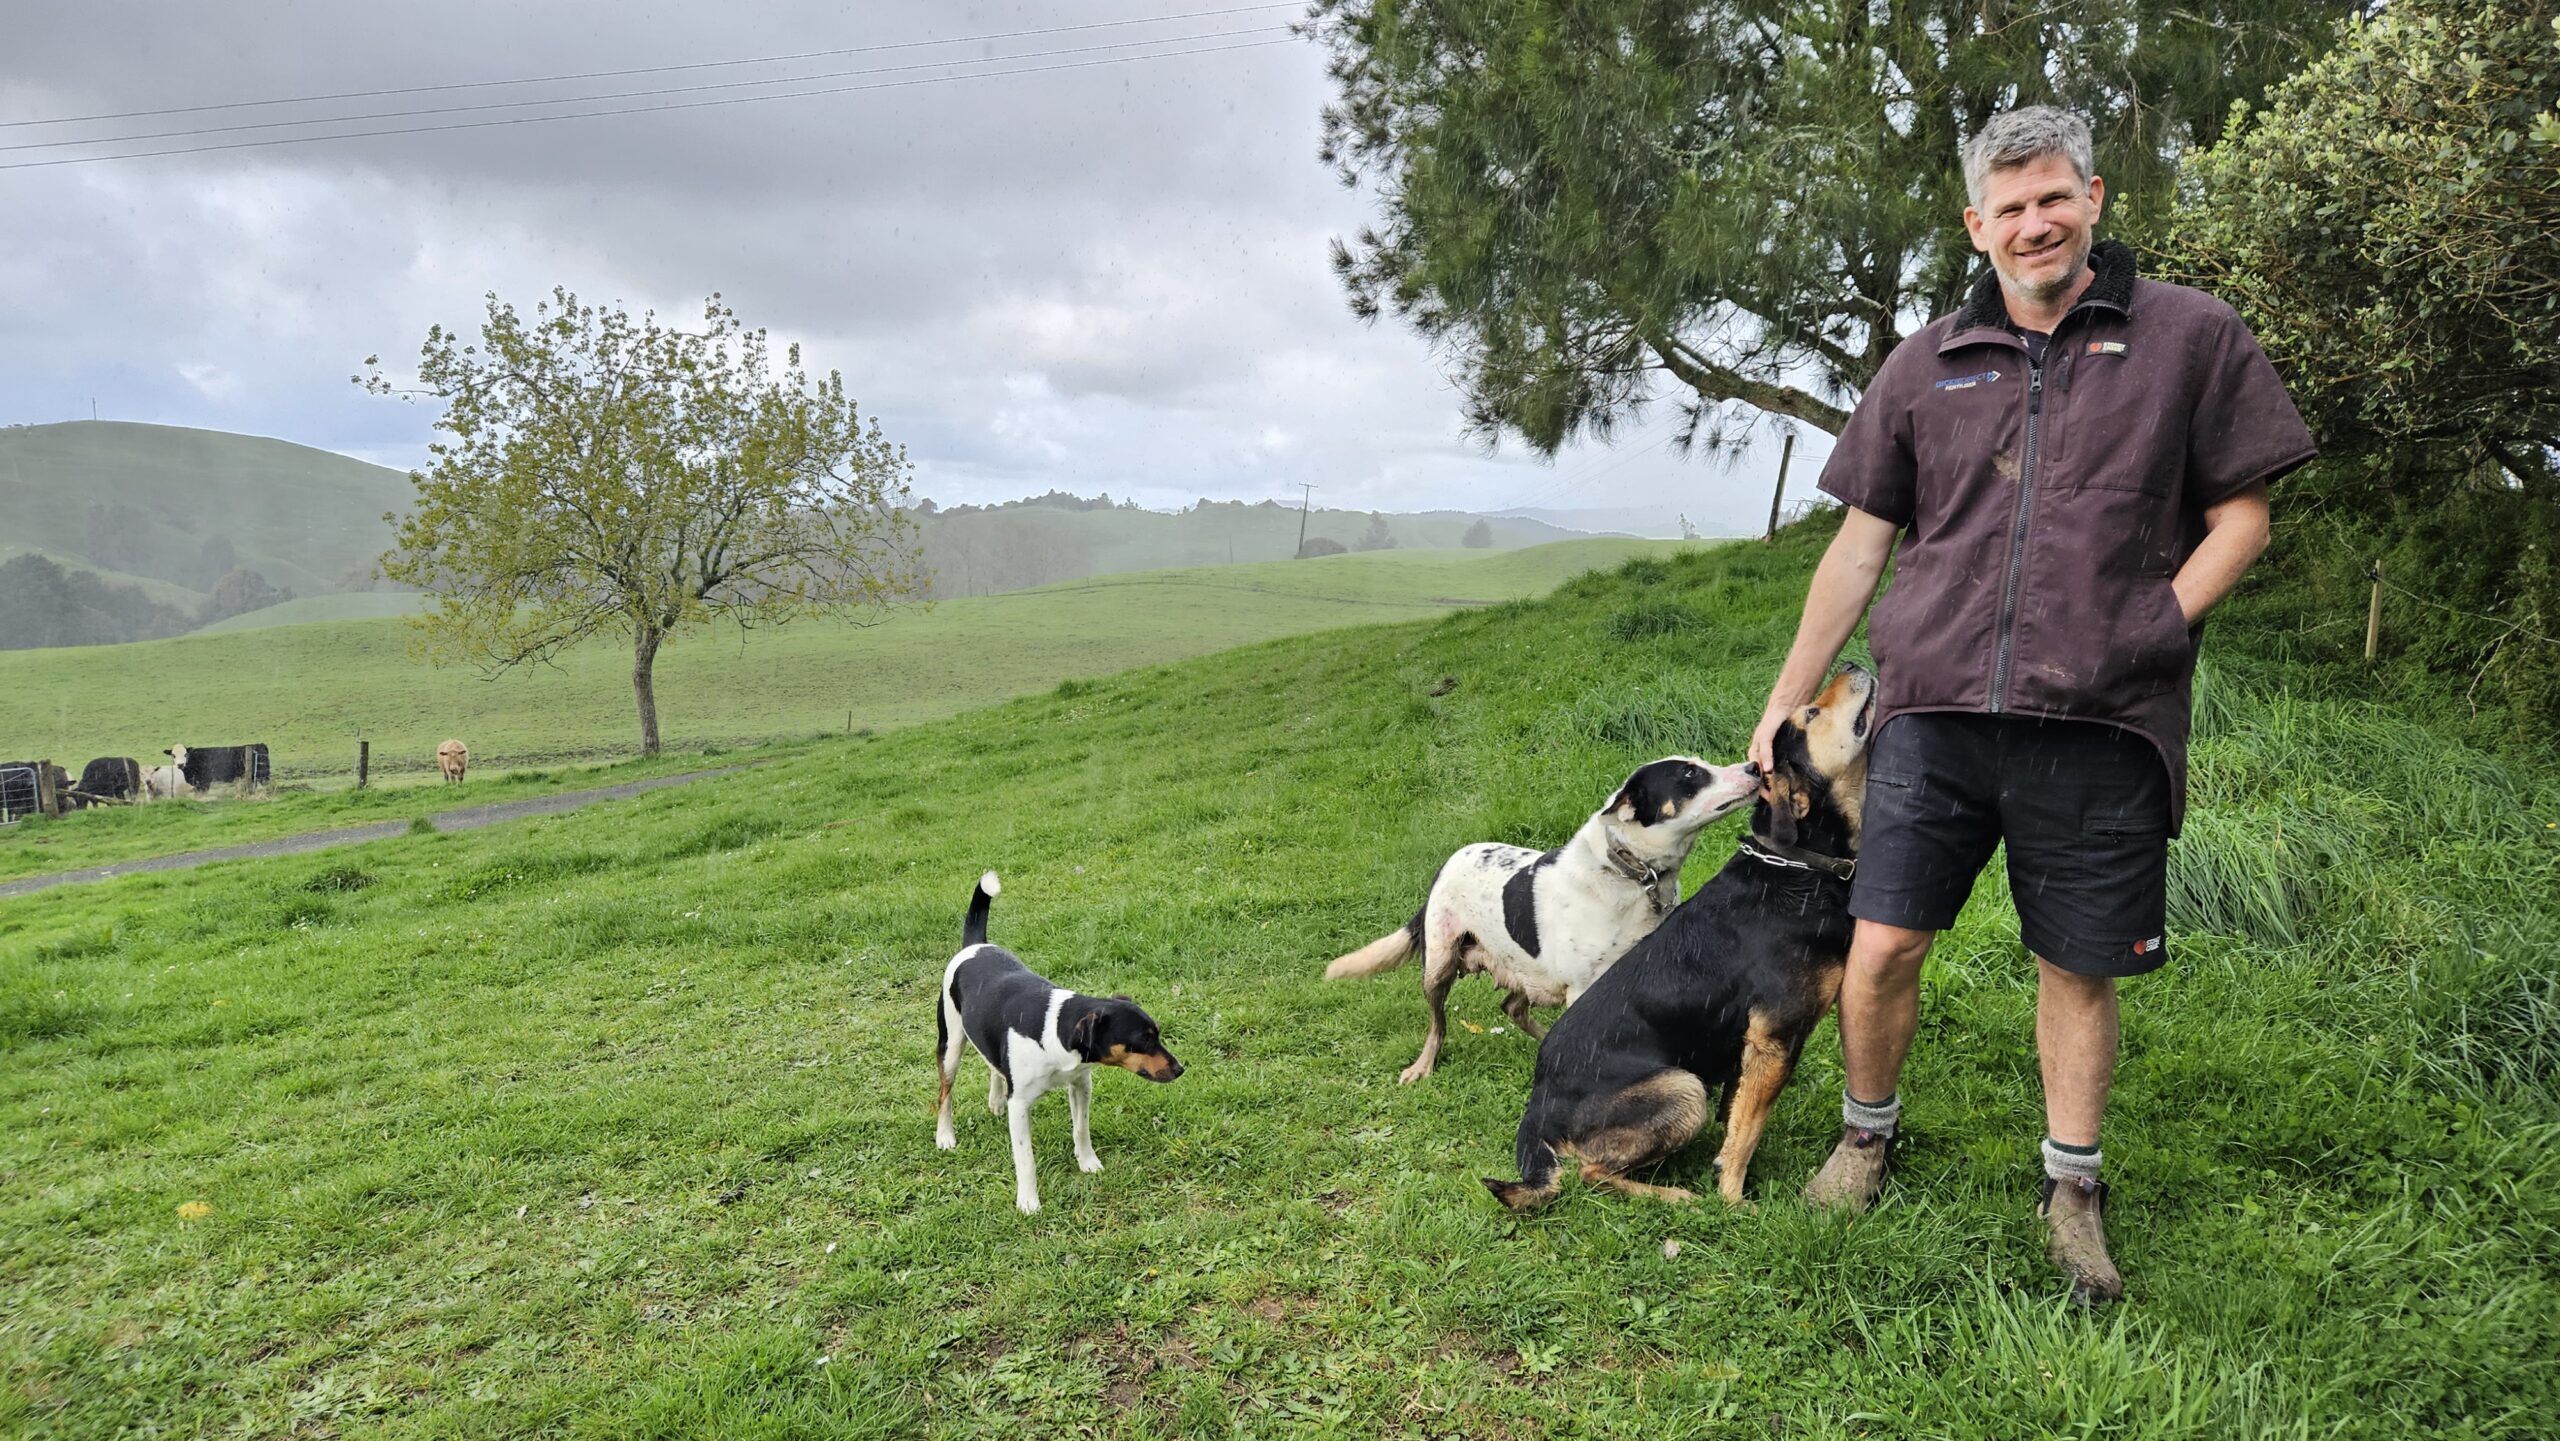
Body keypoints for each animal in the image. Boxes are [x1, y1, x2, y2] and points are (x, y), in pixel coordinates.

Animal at [936, 875, 1182, 1213]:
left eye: (1156, 1033)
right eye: (1143, 1039)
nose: (1180, 1069)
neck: (1055, 1028)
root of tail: (974, 945)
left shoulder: (1080, 1084)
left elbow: (1081, 1128)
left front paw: (1088, 1163)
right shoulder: (1020, 1104)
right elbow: (1025, 1159)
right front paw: (1028, 1202)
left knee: (993, 1066)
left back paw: (995, 1100)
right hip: (950, 1044)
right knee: (945, 1092)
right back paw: (945, 1136)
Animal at [1320, 757, 1761, 1085]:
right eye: (1688, 773)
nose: (1756, 765)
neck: (1629, 874)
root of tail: (1444, 866)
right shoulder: (1583, 987)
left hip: (1522, 969)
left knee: (1512, 1007)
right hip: (1439, 964)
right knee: (1438, 1023)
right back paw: (1422, 1066)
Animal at [1484, 670, 1884, 1213]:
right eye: (1812, 714)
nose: (1855, 667)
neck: (1798, 869)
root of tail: (1537, 1106)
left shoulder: (1749, 1049)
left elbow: (1735, 1118)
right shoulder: (1774, 1038)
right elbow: (1747, 1131)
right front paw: (1735, 1203)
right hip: (1683, 1087)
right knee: (1590, 1173)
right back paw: (1674, 1195)